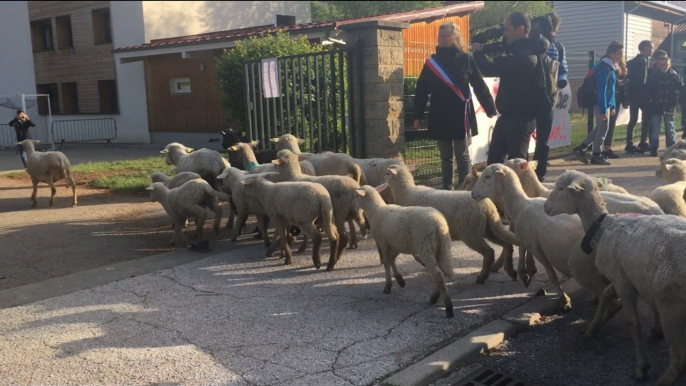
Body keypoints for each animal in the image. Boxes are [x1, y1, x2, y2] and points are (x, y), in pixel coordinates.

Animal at [354, 185, 456, 320]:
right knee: (444, 273)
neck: (375, 210)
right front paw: (400, 280)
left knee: (438, 274)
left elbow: (386, 262)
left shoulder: (383, 241)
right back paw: (435, 297)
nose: (353, 207)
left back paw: (448, 307)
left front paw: (388, 286)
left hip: (426, 247)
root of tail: (438, 224)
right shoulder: (397, 244)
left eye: (356, 196)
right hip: (443, 247)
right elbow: (392, 259)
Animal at [388, 163, 520, 284]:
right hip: (488, 229)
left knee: (489, 252)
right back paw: (510, 271)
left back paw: (482, 277)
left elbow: (414, 254)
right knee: (507, 244)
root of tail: (489, 207)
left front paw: (423, 263)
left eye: (387, 173)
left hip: (470, 232)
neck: (407, 192)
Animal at [544, 170, 686, 384]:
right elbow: (605, 296)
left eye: (560, 188)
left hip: (671, 307)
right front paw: (593, 327)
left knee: (678, 362)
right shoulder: (622, 275)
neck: (602, 227)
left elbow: (634, 322)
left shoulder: (622, 282)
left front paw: (642, 367)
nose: (545, 207)